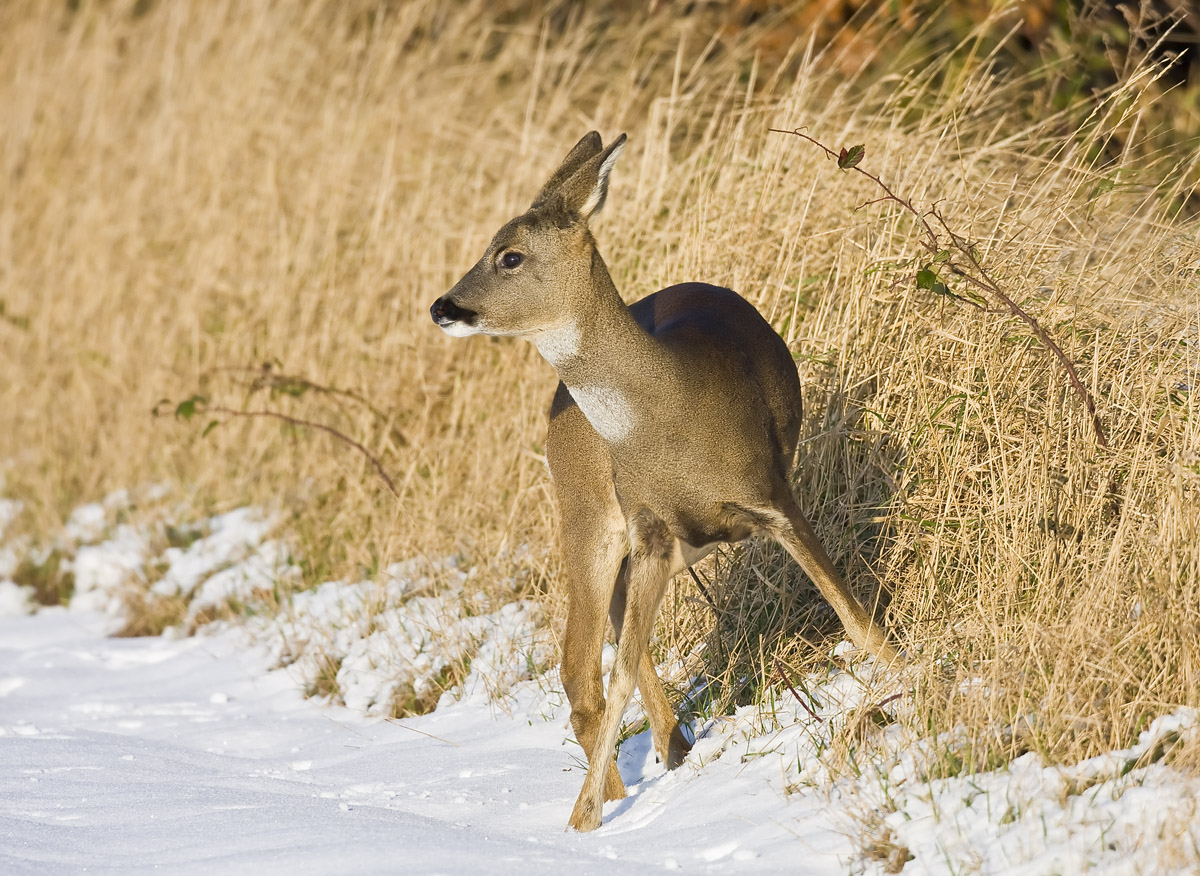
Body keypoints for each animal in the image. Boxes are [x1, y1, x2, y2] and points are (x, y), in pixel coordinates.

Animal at [430, 131, 900, 832]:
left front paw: (913, 674)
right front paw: (582, 819)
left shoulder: (769, 493)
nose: (443, 306)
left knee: (599, 648)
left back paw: (668, 747)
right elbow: (619, 669)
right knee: (582, 663)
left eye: (509, 255)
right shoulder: (650, 526)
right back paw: (642, 767)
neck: (670, 410)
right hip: (590, 511)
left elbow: (853, 617)